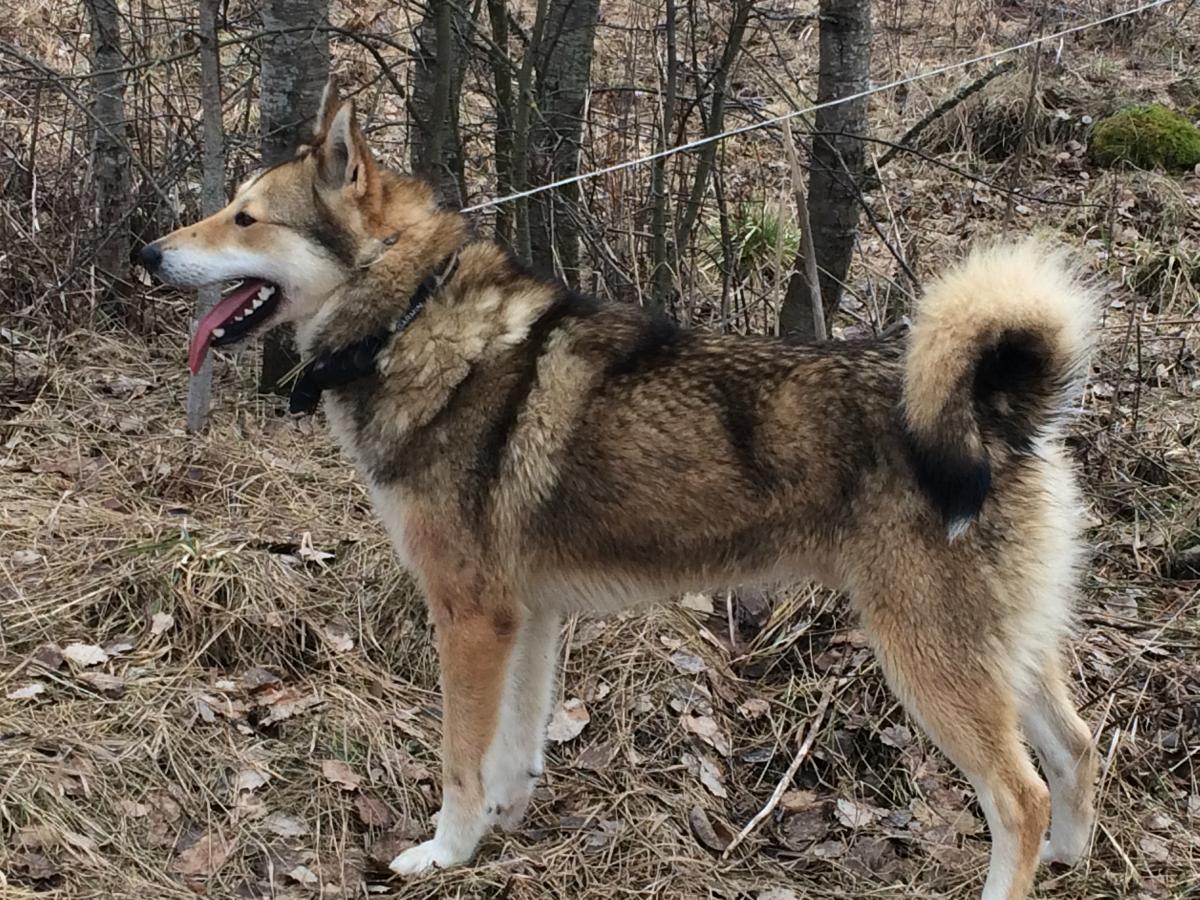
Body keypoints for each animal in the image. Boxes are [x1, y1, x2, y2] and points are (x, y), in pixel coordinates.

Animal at [140, 79, 1099, 900]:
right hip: (1009, 656)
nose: (147, 251)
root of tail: (1002, 411)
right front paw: (503, 825)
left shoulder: (470, 617)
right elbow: (514, 747)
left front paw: (445, 852)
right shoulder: (528, 616)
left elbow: (460, 756)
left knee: (1020, 798)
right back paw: (1069, 859)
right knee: (1078, 749)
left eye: (246, 216)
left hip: (930, 660)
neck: (413, 321)